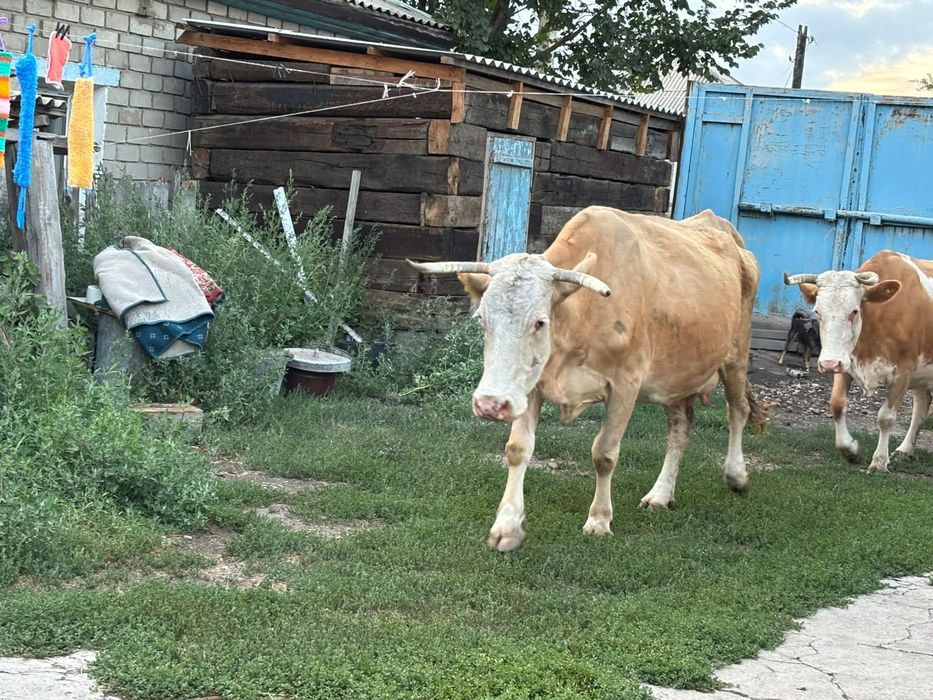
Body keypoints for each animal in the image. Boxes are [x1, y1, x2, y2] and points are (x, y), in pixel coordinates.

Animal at [409, 207, 768, 552]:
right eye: (481, 318)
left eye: (540, 322)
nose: (490, 404)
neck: (580, 316)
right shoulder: (531, 385)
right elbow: (518, 449)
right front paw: (507, 526)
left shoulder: (626, 383)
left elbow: (604, 454)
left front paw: (599, 519)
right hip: (679, 372)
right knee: (680, 427)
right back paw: (660, 494)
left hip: (736, 353)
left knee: (737, 410)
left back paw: (737, 476)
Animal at [784, 249, 933, 473]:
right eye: (817, 312)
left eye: (854, 311)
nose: (827, 364)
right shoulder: (845, 363)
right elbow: (837, 405)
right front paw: (850, 450)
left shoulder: (903, 372)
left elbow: (886, 418)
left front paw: (879, 461)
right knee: (922, 406)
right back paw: (904, 450)